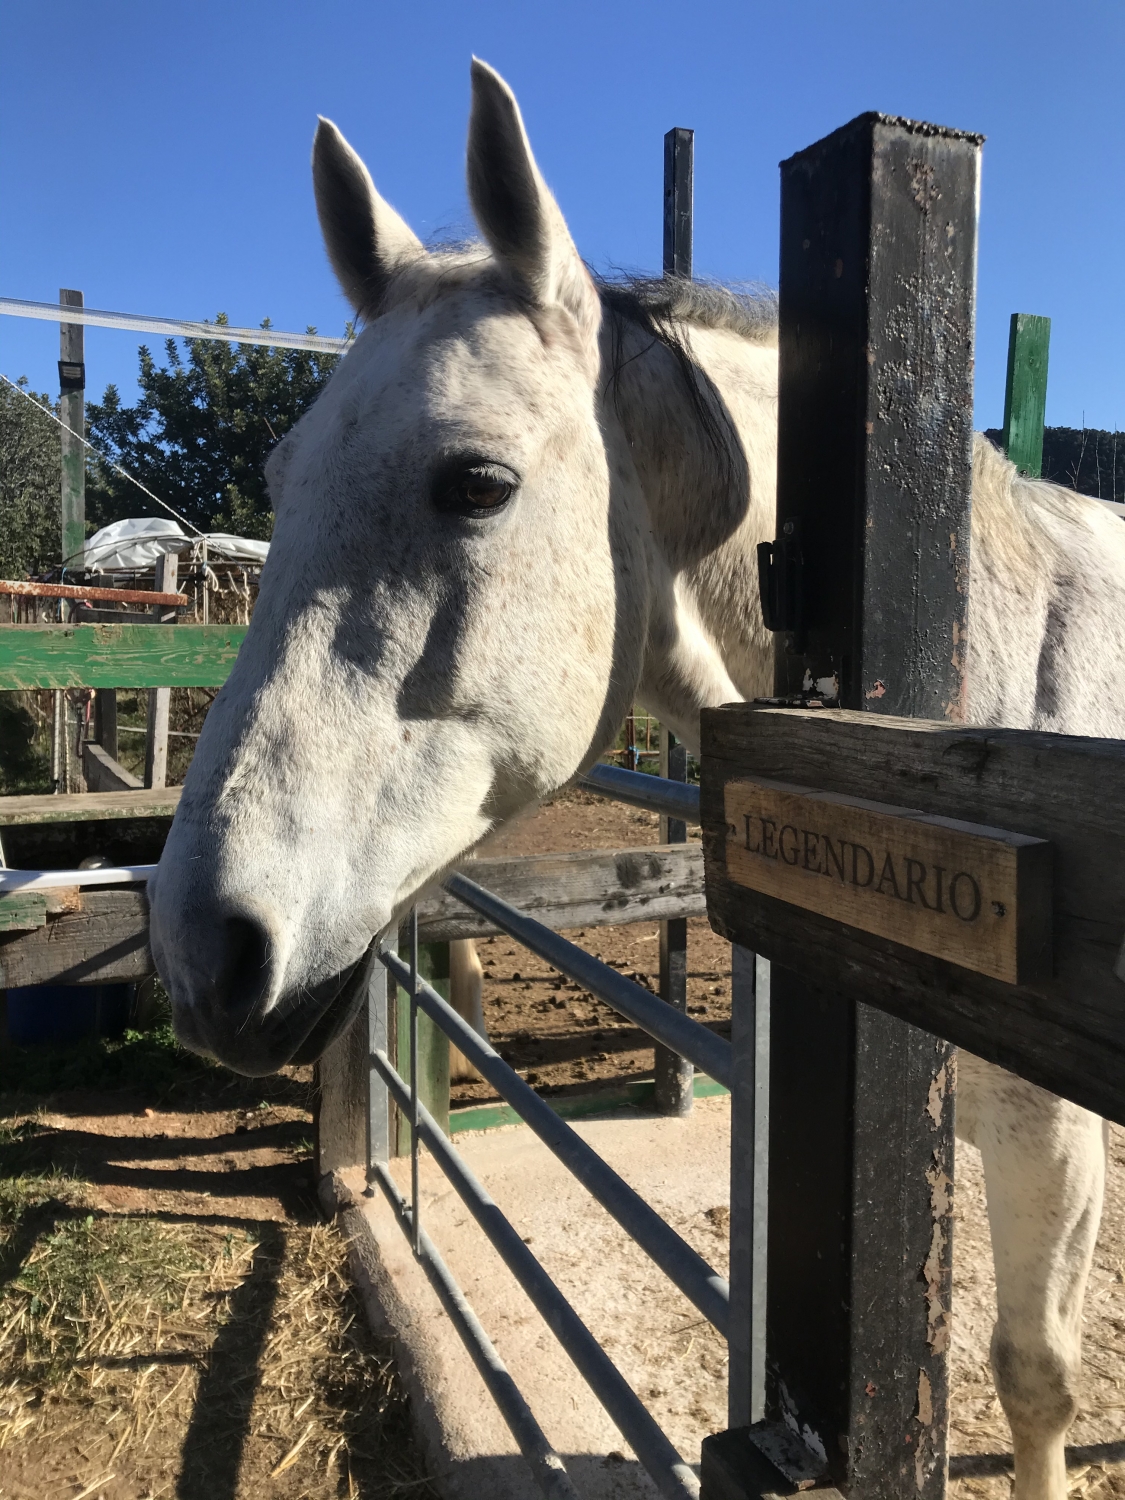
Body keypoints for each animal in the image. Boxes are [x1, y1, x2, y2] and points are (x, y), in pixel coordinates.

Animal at [148, 60, 1121, 1500]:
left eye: (477, 482)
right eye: (281, 477)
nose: (202, 949)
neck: (973, 747)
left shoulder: (1045, 1126)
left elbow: (1035, 1372)